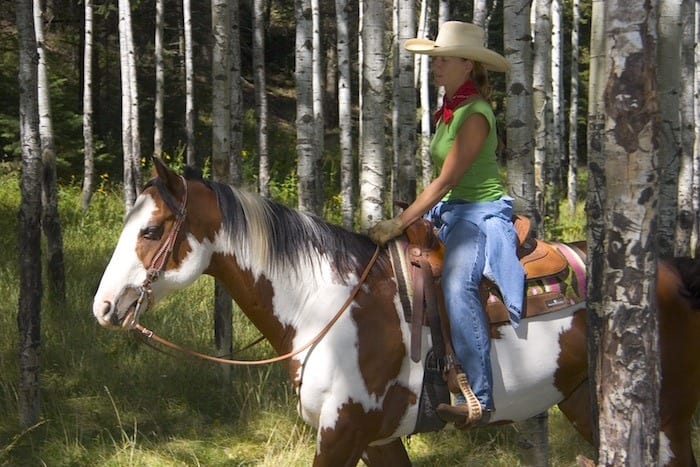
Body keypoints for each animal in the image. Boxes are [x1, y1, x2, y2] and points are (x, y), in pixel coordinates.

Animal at [93, 158, 700, 467]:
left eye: (151, 231)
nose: (104, 307)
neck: (328, 306)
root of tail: (672, 271)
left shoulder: (343, 434)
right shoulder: (379, 440)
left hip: (667, 416)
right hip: (585, 404)